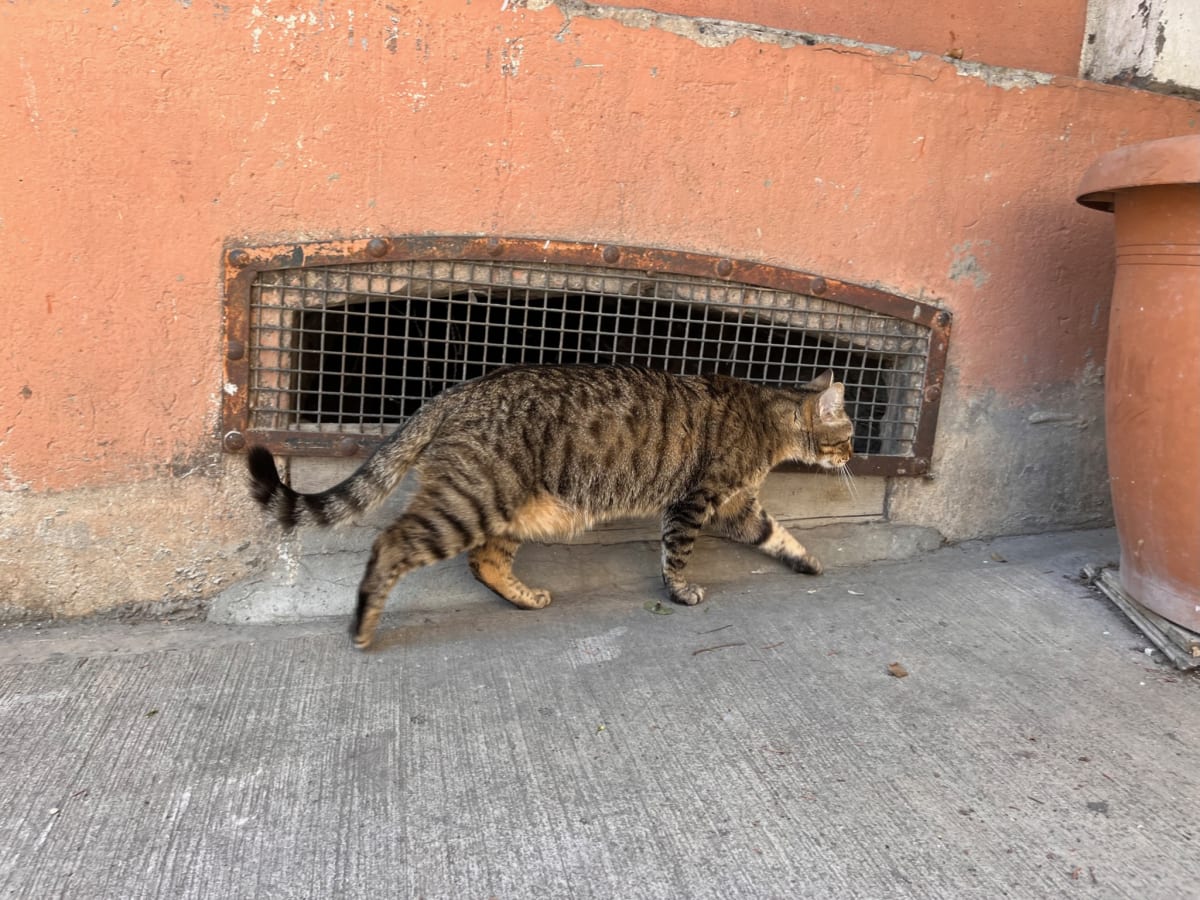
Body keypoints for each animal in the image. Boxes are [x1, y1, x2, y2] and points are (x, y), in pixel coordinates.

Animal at [250, 362, 854, 652]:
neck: (770, 417)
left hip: (511, 509)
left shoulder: (738, 507)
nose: (853, 452)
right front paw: (681, 593)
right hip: (470, 502)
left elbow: (777, 534)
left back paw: (525, 598)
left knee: (485, 562)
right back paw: (363, 626)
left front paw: (807, 560)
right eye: (847, 434)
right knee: (391, 543)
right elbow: (677, 556)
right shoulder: (695, 502)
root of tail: (452, 393)